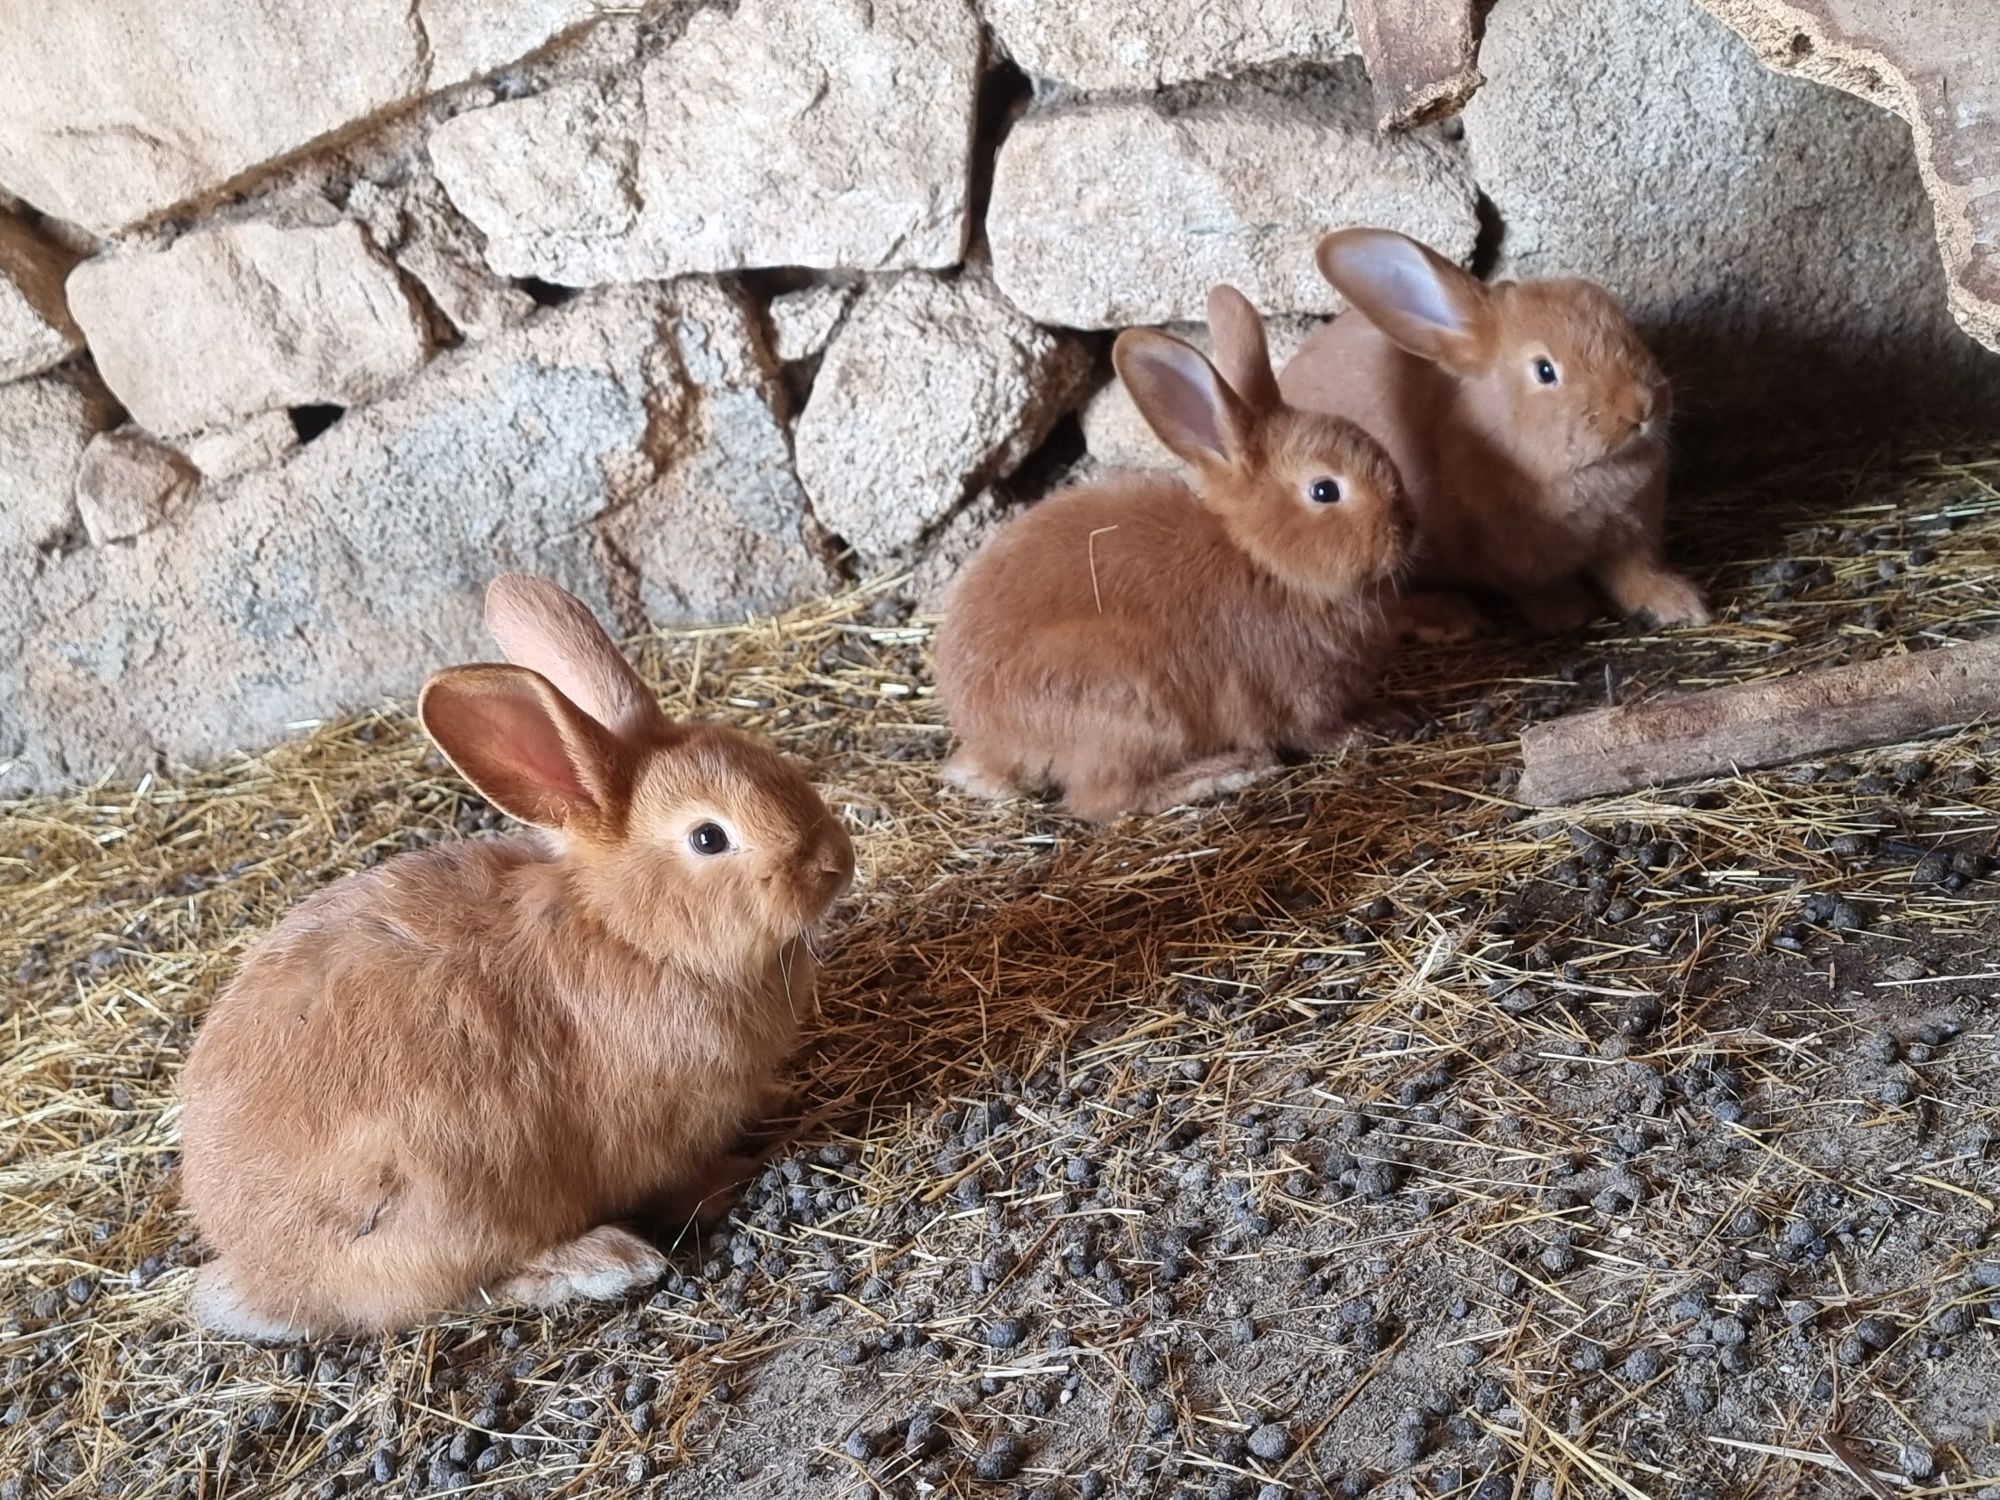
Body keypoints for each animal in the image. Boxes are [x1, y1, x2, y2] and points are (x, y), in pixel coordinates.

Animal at [178, 572, 852, 1336]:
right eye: (709, 838)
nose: (837, 861)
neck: (630, 932)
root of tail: (263, 1277)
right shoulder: (663, 1138)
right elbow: (682, 1180)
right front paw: (730, 1182)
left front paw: (779, 1095)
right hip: (448, 1204)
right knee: (478, 1285)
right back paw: (607, 1261)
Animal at [932, 282, 1416, 824]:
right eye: (1324, 491)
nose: (1407, 527)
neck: (1261, 558)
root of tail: (988, 739)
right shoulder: (1300, 697)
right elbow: (1318, 732)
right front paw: (1375, 723)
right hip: (1131, 708)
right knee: (1104, 800)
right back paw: (1226, 771)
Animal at [1280, 226, 1704, 636]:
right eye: (1544, 370)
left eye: (1625, 328)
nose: (1641, 407)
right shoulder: (1507, 557)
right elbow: (1538, 588)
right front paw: (1567, 614)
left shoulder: (1631, 537)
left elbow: (1634, 574)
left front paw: (1678, 605)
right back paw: (1448, 619)